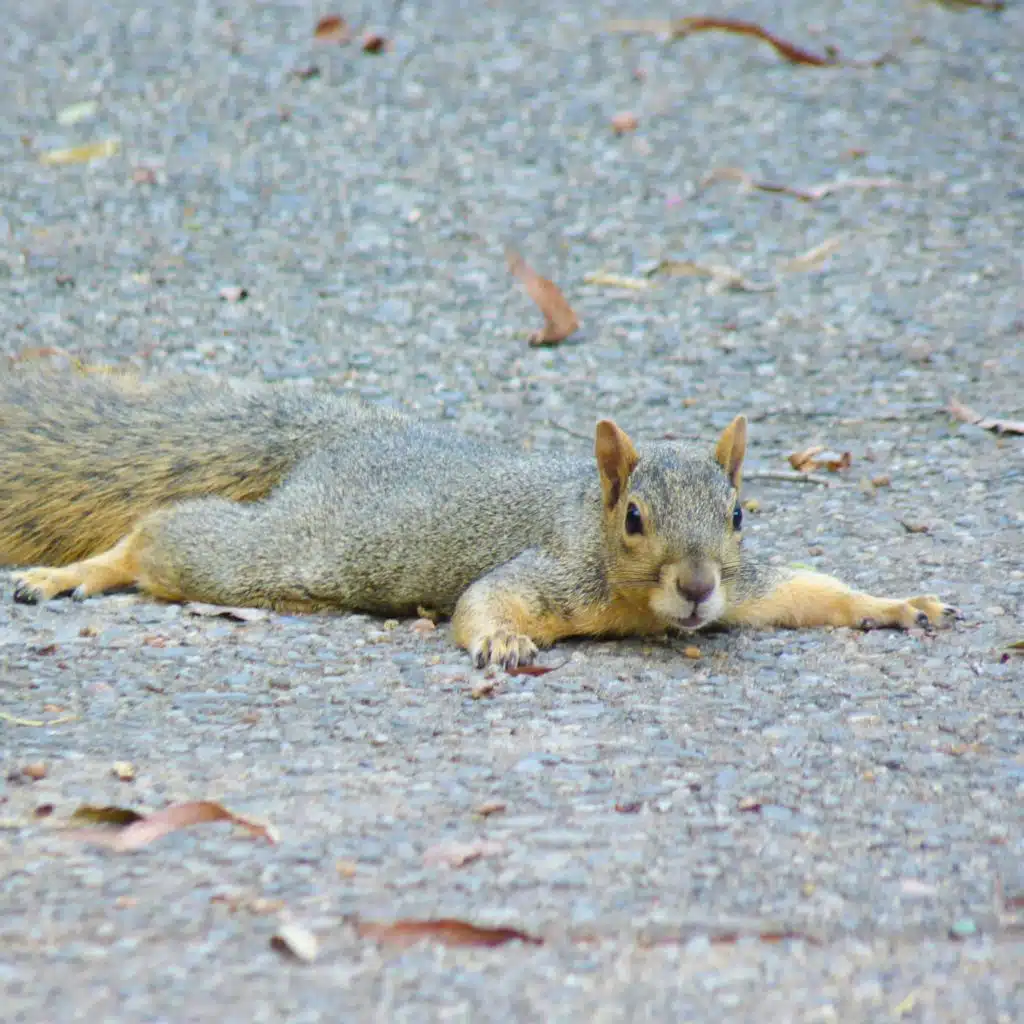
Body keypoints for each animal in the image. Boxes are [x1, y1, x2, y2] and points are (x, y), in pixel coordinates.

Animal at [0, 366, 957, 668]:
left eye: (738, 514)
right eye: (634, 518)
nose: (695, 589)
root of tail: (354, 436)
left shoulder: (747, 587)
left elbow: (808, 592)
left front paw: (894, 605)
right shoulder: (553, 570)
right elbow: (482, 601)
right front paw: (501, 641)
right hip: (286, 556)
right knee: (162, 536)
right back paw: (72, 573)